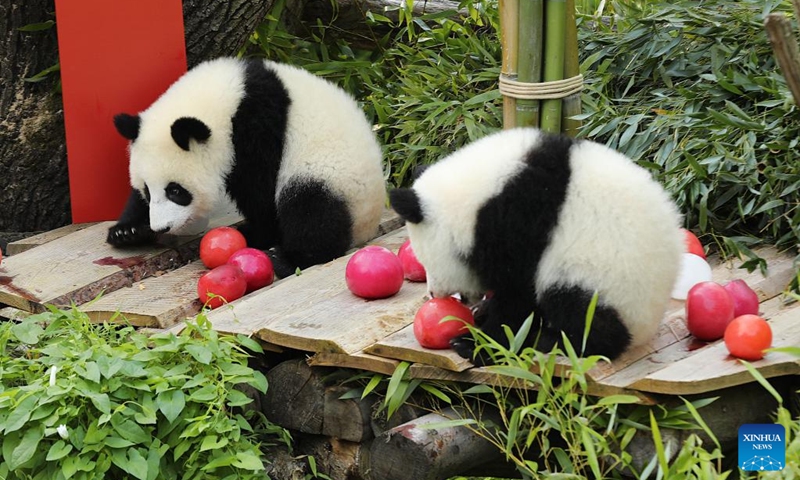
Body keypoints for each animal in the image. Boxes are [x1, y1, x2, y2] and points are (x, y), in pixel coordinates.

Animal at [107, 57, 386, 277]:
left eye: (176, 191)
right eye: (147, 189)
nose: (161, 227)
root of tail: (367, 227)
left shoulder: (256, 130)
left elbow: (261, 192)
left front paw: (260, 234)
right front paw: (128, 230)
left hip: (334, 175)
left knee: (312, 208)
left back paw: (288, 258)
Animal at [389, 128, 683, 365]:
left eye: (426, 260)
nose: (433, 294)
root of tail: (646, 329)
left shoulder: (521, 222)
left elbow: (518, 294)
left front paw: (478, 344)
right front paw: (484, 318)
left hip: (607, 283)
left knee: (581, 313)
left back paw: (548, 340)